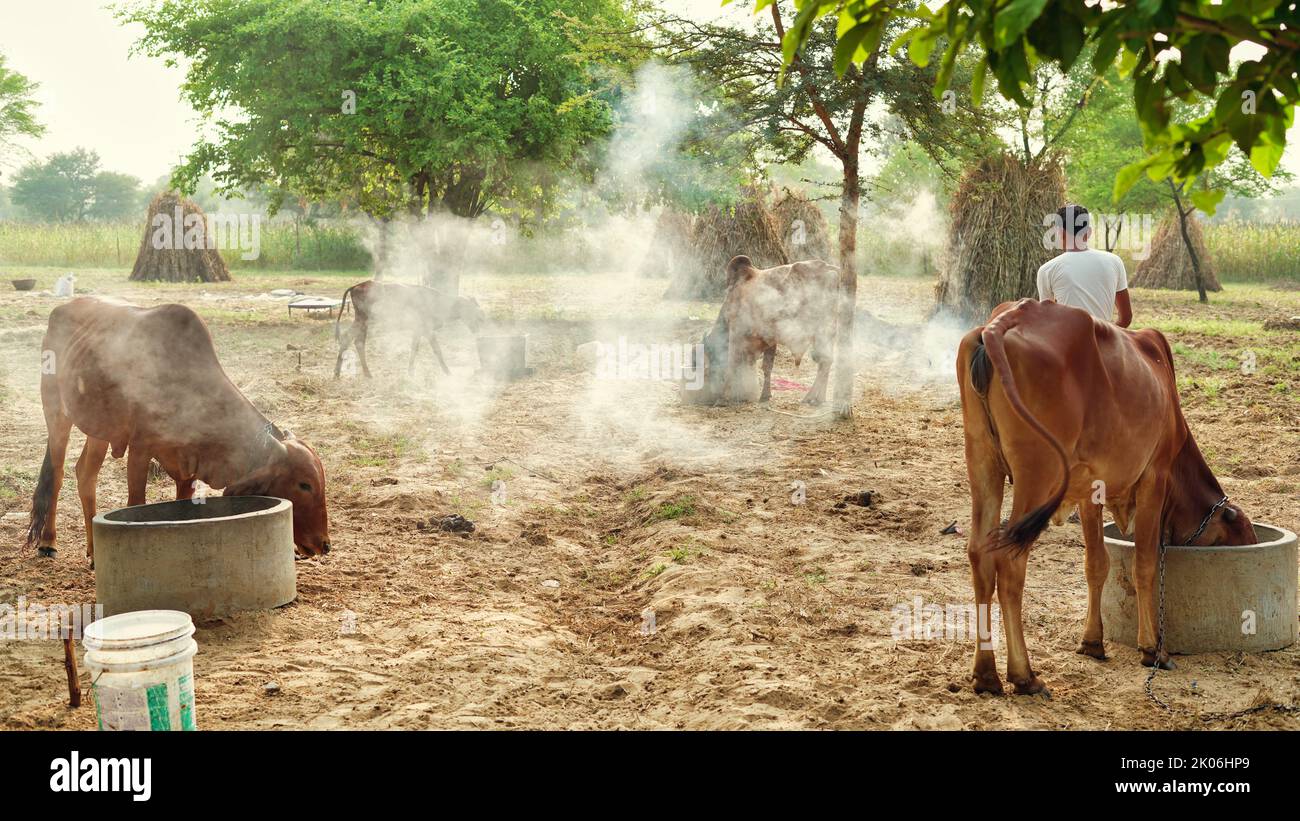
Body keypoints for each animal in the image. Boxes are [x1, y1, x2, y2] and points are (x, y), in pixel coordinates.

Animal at [30, 298, 332, 561]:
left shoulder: (189, 465)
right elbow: (136, 502)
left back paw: (94, 553)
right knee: (57, 475)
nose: (324, 544)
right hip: (55, 411)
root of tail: (63, 308)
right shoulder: (140, 450)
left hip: (98, 429)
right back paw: (48, 542)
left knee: (85, 475)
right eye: (304, 484)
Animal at [332, 279, 486, 374]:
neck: (438, 302)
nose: (480, 325)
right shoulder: (427, 329)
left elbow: (414, 349)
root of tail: (357, 286)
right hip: (363, 319)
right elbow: (437, 350)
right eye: (473, 311)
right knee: (354, 340)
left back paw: (343, 373)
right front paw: (448, 372)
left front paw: (410, 372)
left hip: (361, 320)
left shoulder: (418, 330)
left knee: (350, 339)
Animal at [707, 252, 837, 402]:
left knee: (825, 361)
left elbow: (732, 362)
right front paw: (765, 395)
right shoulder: (769, 338)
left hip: (822, 332)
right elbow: (767, 367)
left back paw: (811, 397)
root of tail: (828, 268)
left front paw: (723, 397)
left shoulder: (737, 330)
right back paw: (819, 398)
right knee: (826, 362)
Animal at [961, 298, 1253, 696]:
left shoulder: (1090, 491)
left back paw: (986, 674)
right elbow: (1144, 565)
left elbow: (1097, 564)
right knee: (1009, 562)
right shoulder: (1154, 477)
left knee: (980, 555)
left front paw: (1092, 641)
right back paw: (1024, 675)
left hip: (983, 463)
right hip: (1037, 476)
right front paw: (1152, 649)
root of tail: (1005, 319)